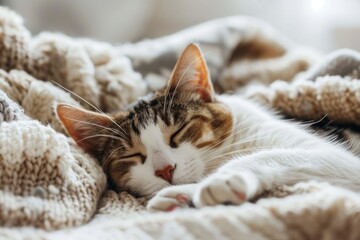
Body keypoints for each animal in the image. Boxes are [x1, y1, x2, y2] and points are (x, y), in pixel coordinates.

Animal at [56, 43, 360, 212]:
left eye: (178, 132)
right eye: (132, 156)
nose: (165, 170)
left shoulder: (339, 158)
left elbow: (270, 155)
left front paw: (222, 180)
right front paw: (182, 194)